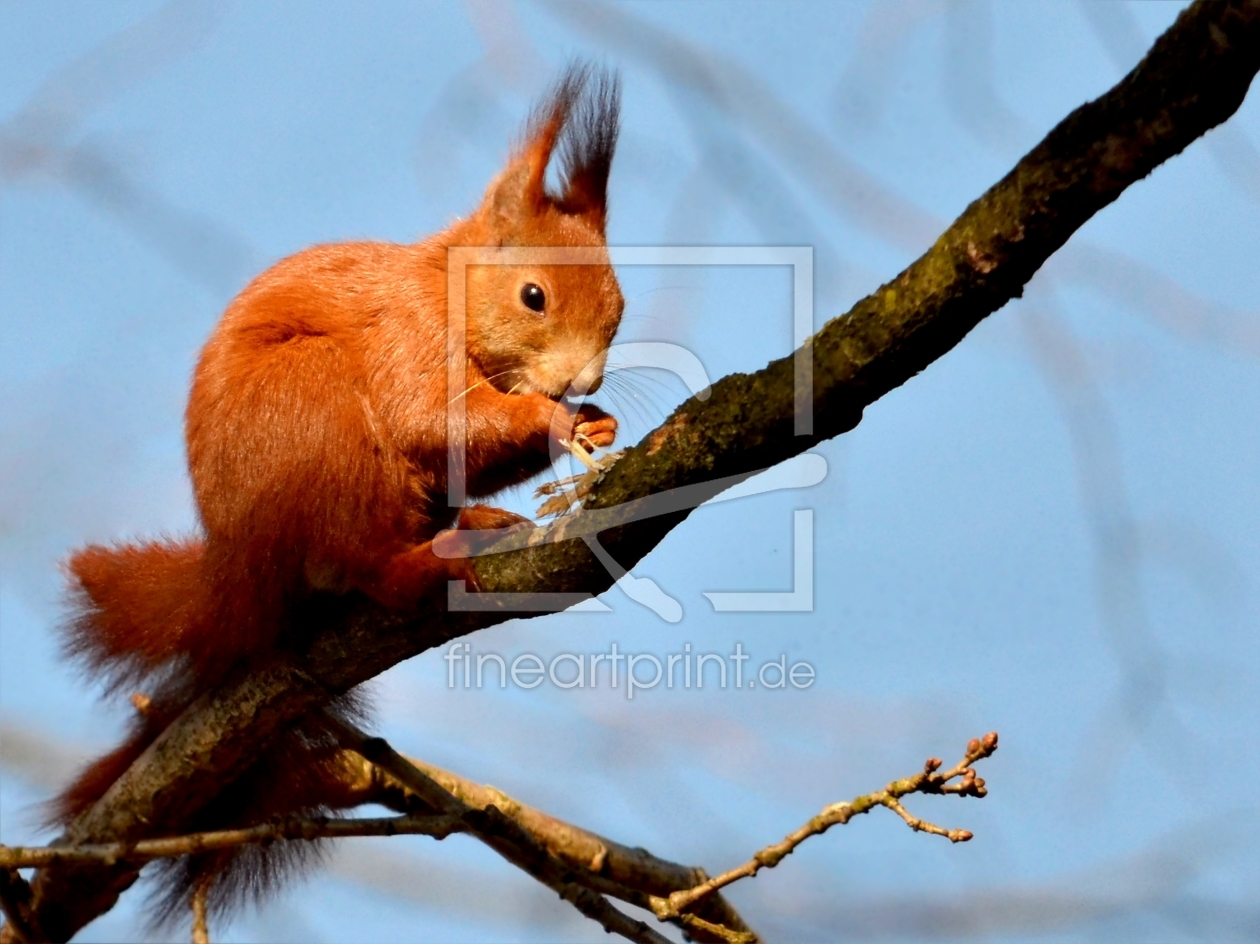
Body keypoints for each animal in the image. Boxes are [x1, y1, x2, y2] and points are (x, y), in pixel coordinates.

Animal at [55, 62, 624, 917]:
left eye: (618, 308)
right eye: (534, 297)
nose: (583, 382)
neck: (447, 286)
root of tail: (240, 574)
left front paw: (594, 424)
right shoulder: (407, 338)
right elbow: (433, 417)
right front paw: (549, 418)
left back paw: (476, 520)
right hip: (315, 418)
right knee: (363, 563)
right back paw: (420, 561)